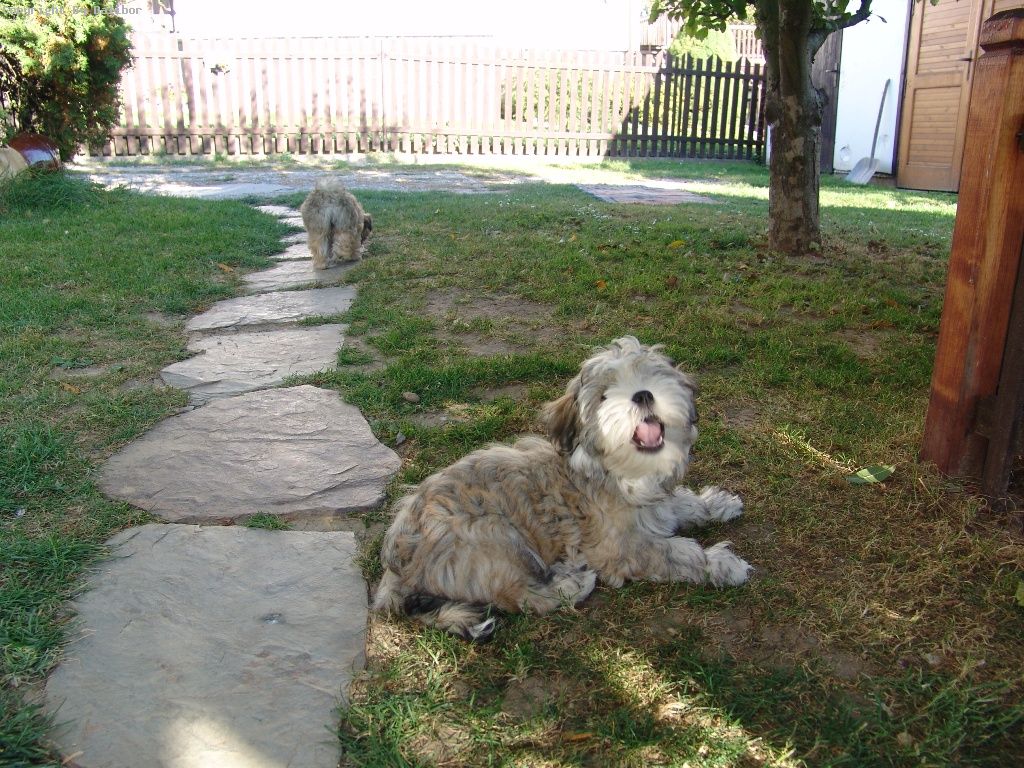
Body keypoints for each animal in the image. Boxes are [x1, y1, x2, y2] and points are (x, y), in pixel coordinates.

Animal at [373, 336, 752, 641]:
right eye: (604, 397)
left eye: (653, 376)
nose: (643, 395)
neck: (620, 472)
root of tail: (394, 570)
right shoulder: (619, 548)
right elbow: (674, 552)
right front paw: (721, 564)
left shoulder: (656, 502)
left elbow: (680, 504)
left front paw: (717, 504)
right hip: (492, 538)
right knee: (522, 596)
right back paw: (571, 584)